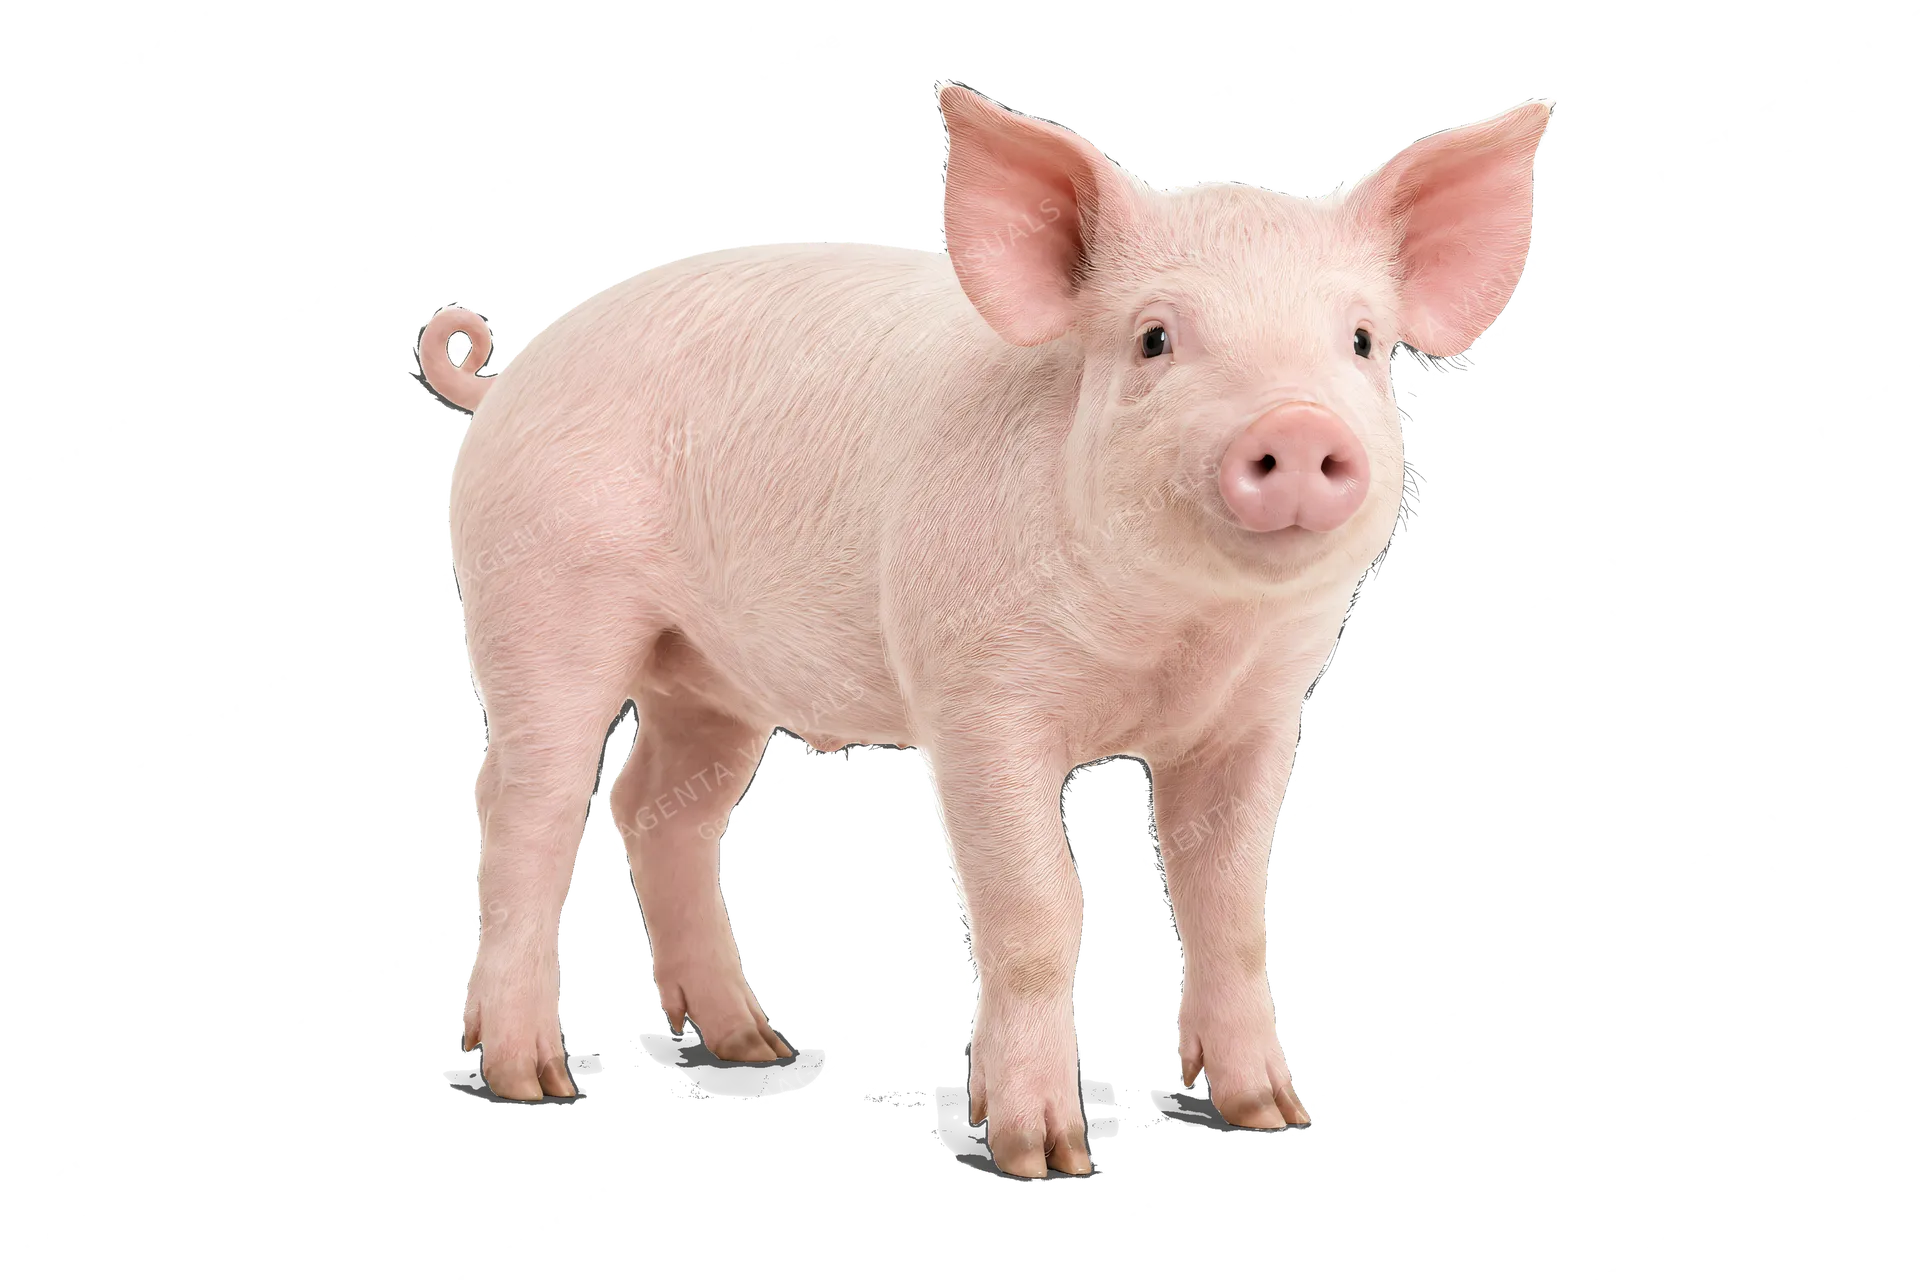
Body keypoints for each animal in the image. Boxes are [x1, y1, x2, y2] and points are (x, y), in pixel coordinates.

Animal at [428, 83, 1553, 1176]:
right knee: (526, 803)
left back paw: (755, 1044)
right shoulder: (977, 699)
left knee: (658, 805)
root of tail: (508, 374)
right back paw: (532, 1077)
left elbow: (1230, 903)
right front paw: (1041, 1156)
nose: (1297, 424)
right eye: (1155, 338)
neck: (1176, 636)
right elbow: (1038, 912)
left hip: (710, 676)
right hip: (539, 596)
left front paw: (1271, 1112)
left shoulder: (1257, 713)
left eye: (1359, 342)